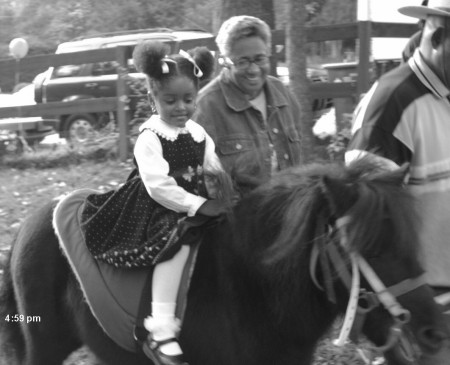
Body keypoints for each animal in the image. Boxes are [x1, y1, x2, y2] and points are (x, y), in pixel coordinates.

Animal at [0, 160, 450, 364]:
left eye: (408, 242)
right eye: (370, 249)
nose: (433, 332)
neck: (254, 291)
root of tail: (28, 224)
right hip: (44, 346)